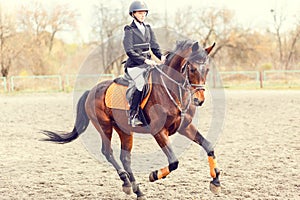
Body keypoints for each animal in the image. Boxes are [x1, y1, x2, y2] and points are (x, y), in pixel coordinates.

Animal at [42, 38, 220, 198]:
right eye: (192, 69)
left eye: (207, 70)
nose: (199, 100)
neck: (172, 90)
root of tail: (91, 91)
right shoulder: (159, 131)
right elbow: (174, 162)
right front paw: (154, 175)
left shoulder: (185, 127)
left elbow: (208, 146)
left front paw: (216, 182)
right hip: (104, 126)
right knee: (108, 152)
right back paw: (127, 183)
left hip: (124, 130)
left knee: (125, 158)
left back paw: (135, 189)